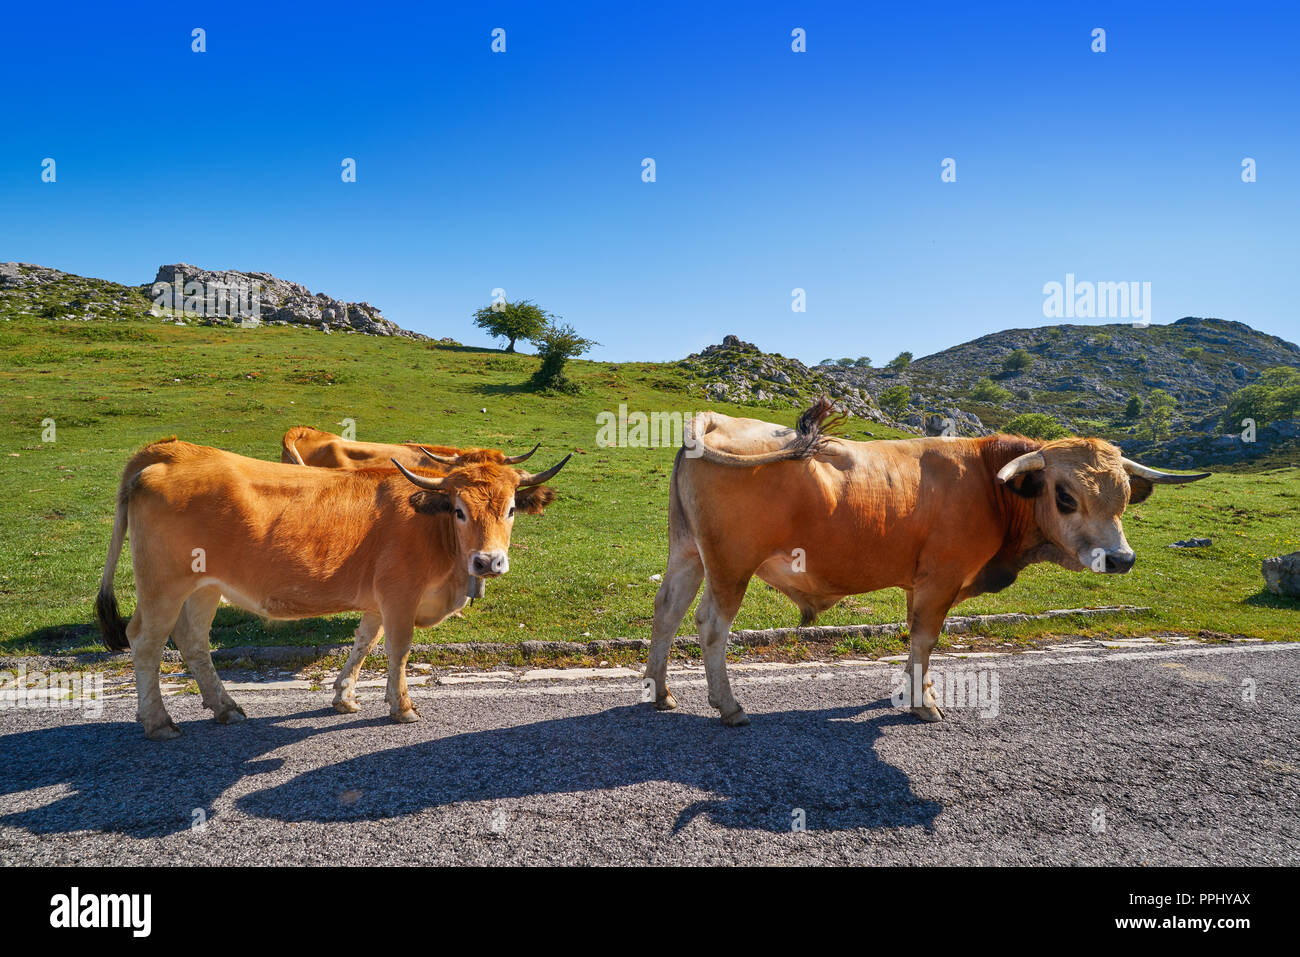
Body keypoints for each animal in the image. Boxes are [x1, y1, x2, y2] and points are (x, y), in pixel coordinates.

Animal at [97, 439, 569, 738]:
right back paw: (158, 722)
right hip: (163, 584)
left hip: (204, 586)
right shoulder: (400, 593)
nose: (489, 562)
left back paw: (226, 708)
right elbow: (398, 648)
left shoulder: (378, 598)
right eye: (458, 510)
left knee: (192, 641)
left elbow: (364, 641)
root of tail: (174, 450)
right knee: (145, 641)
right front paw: (402, 707)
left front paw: (344, 696)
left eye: (511, 509)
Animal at [647, 397, 1206, 722]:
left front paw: (922, 687)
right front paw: (923, 704)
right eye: (1065, 496)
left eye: (1124, 495)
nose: (1121, 558)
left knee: (667, 611)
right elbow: (926, 637)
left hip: (687, 553)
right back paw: (729, 706)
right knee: (710, 625)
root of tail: (716, 418)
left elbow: (919, 642)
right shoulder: (942, 578)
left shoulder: (921, 581)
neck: (989, 481)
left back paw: (659, 692)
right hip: (730, 567)